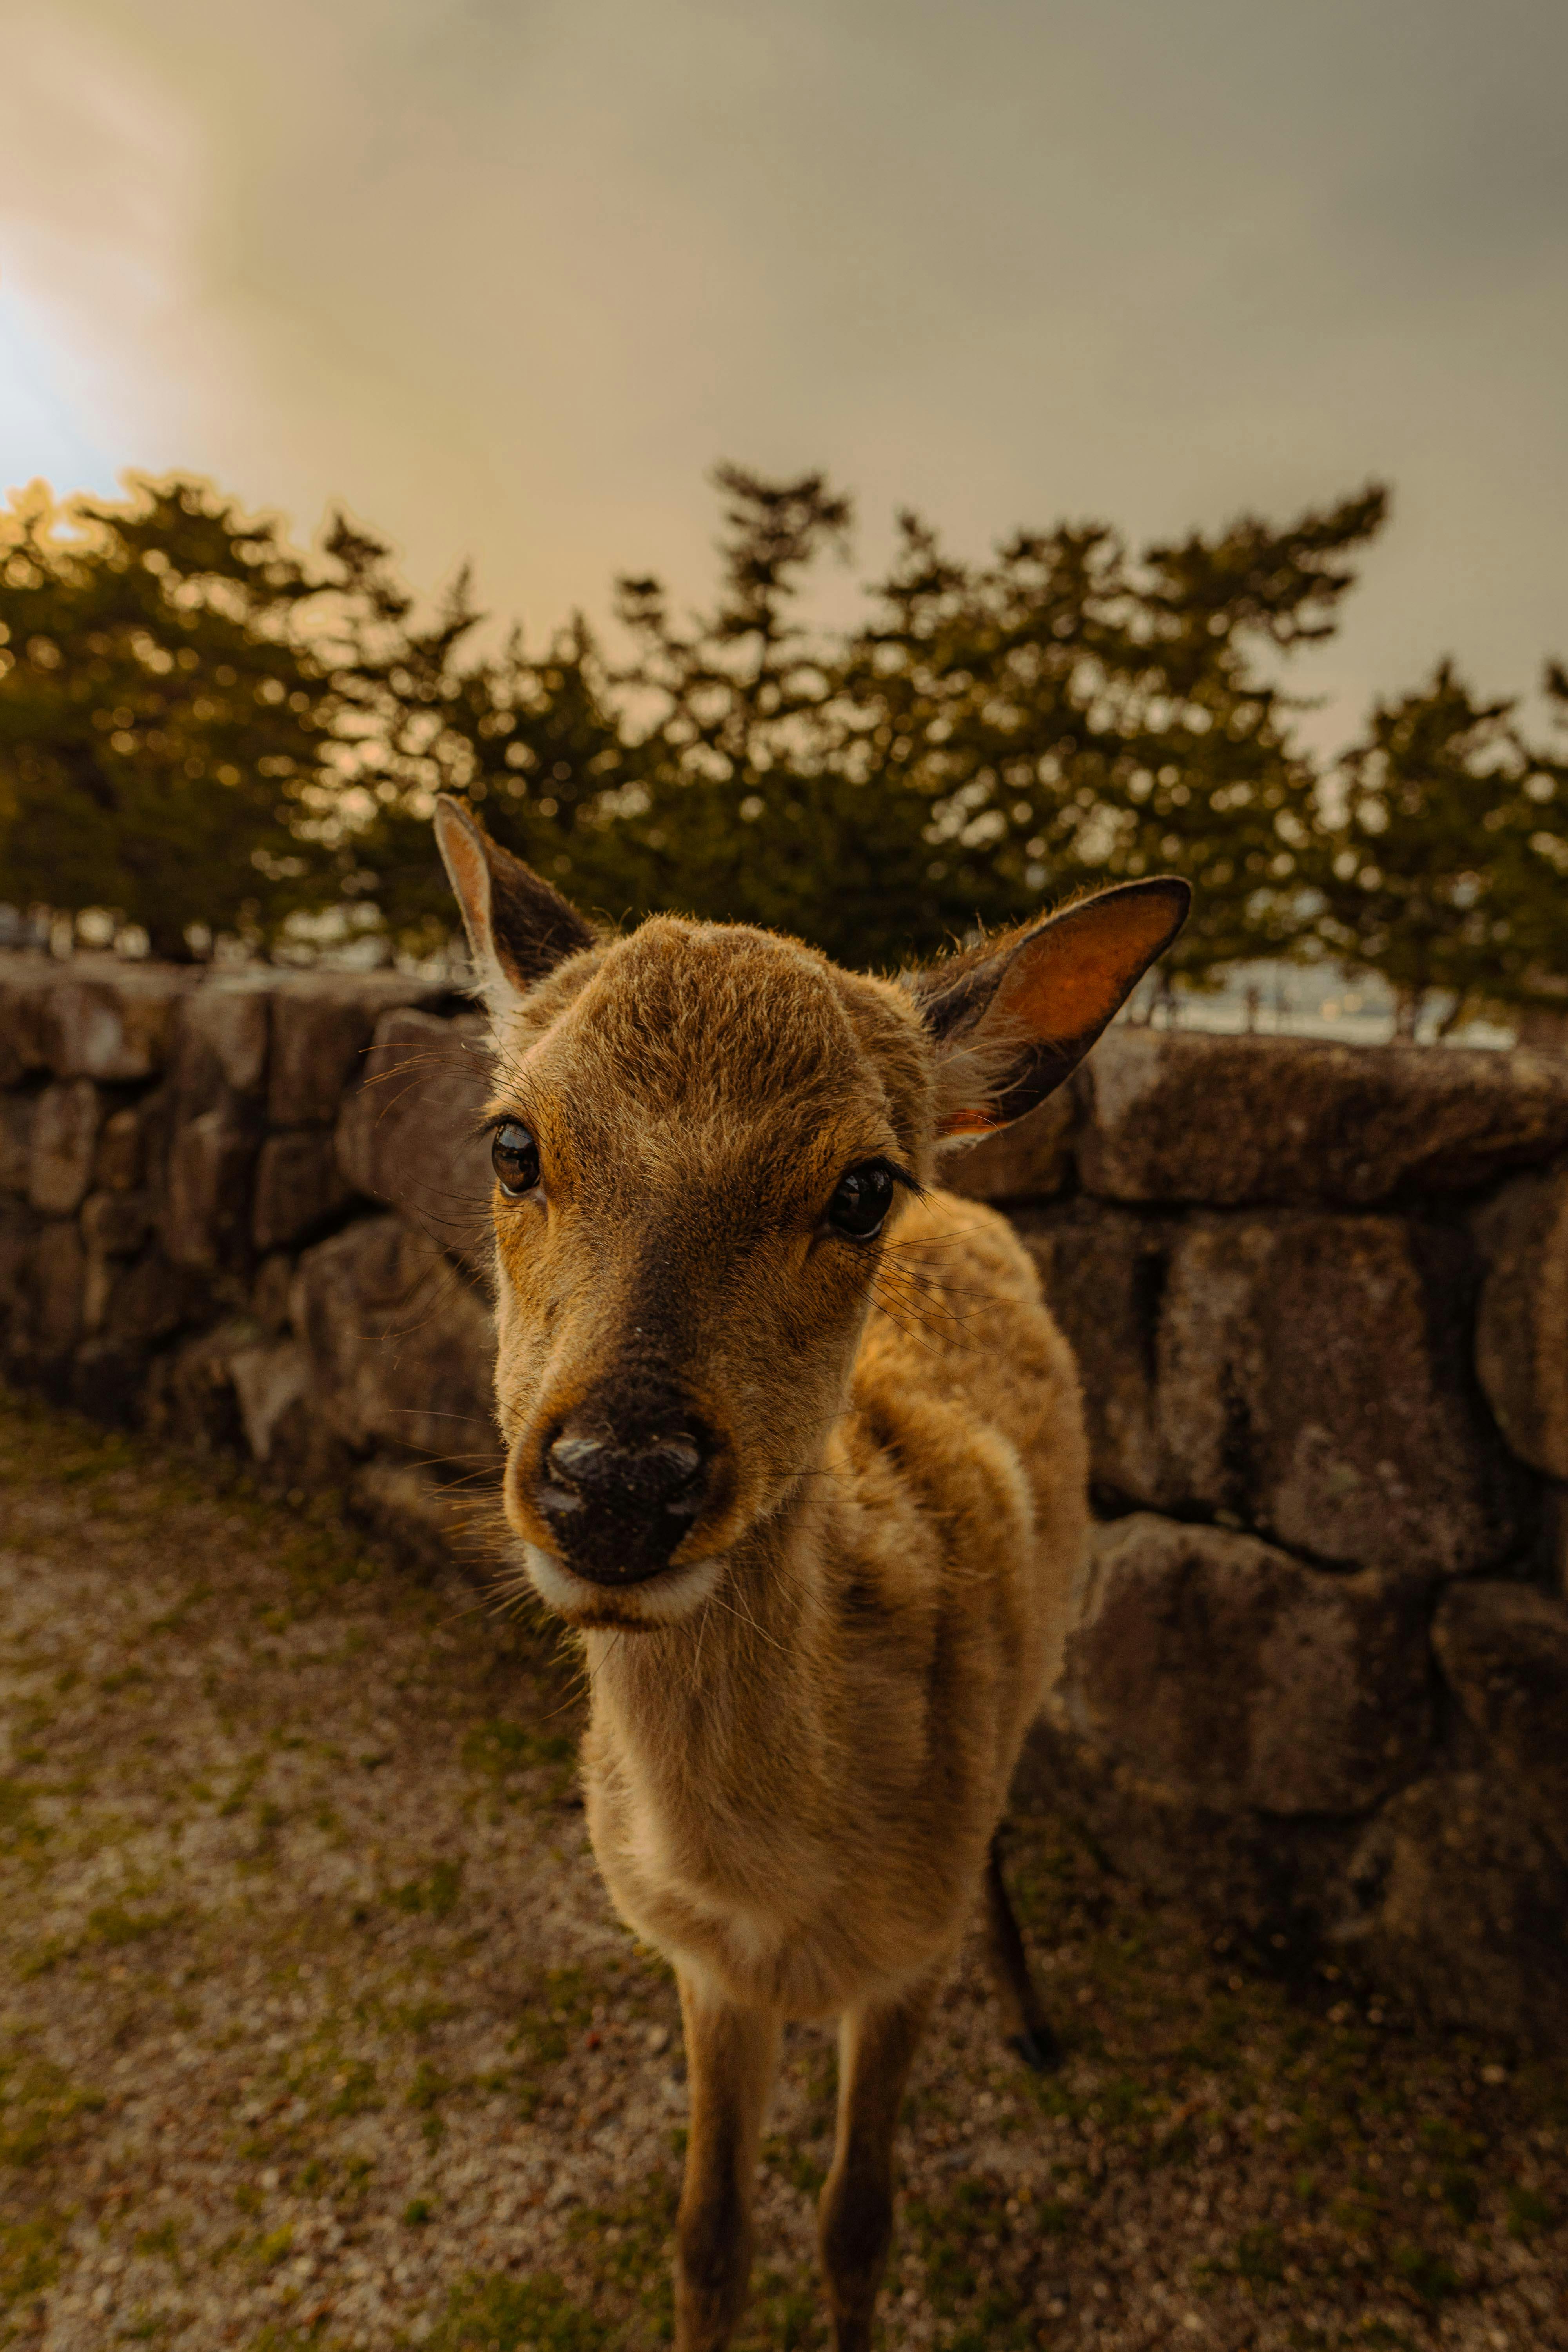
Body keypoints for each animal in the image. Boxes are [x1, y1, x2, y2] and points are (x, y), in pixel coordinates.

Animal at [432, 800, 1189, 2343]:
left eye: (859, 1186)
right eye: (512, 1142)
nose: (617, 1484)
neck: (778, 1895)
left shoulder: (902, 1962)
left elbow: (857, 2222)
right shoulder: (701, 1965)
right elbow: (708, 2235)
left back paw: (1033, 2020)